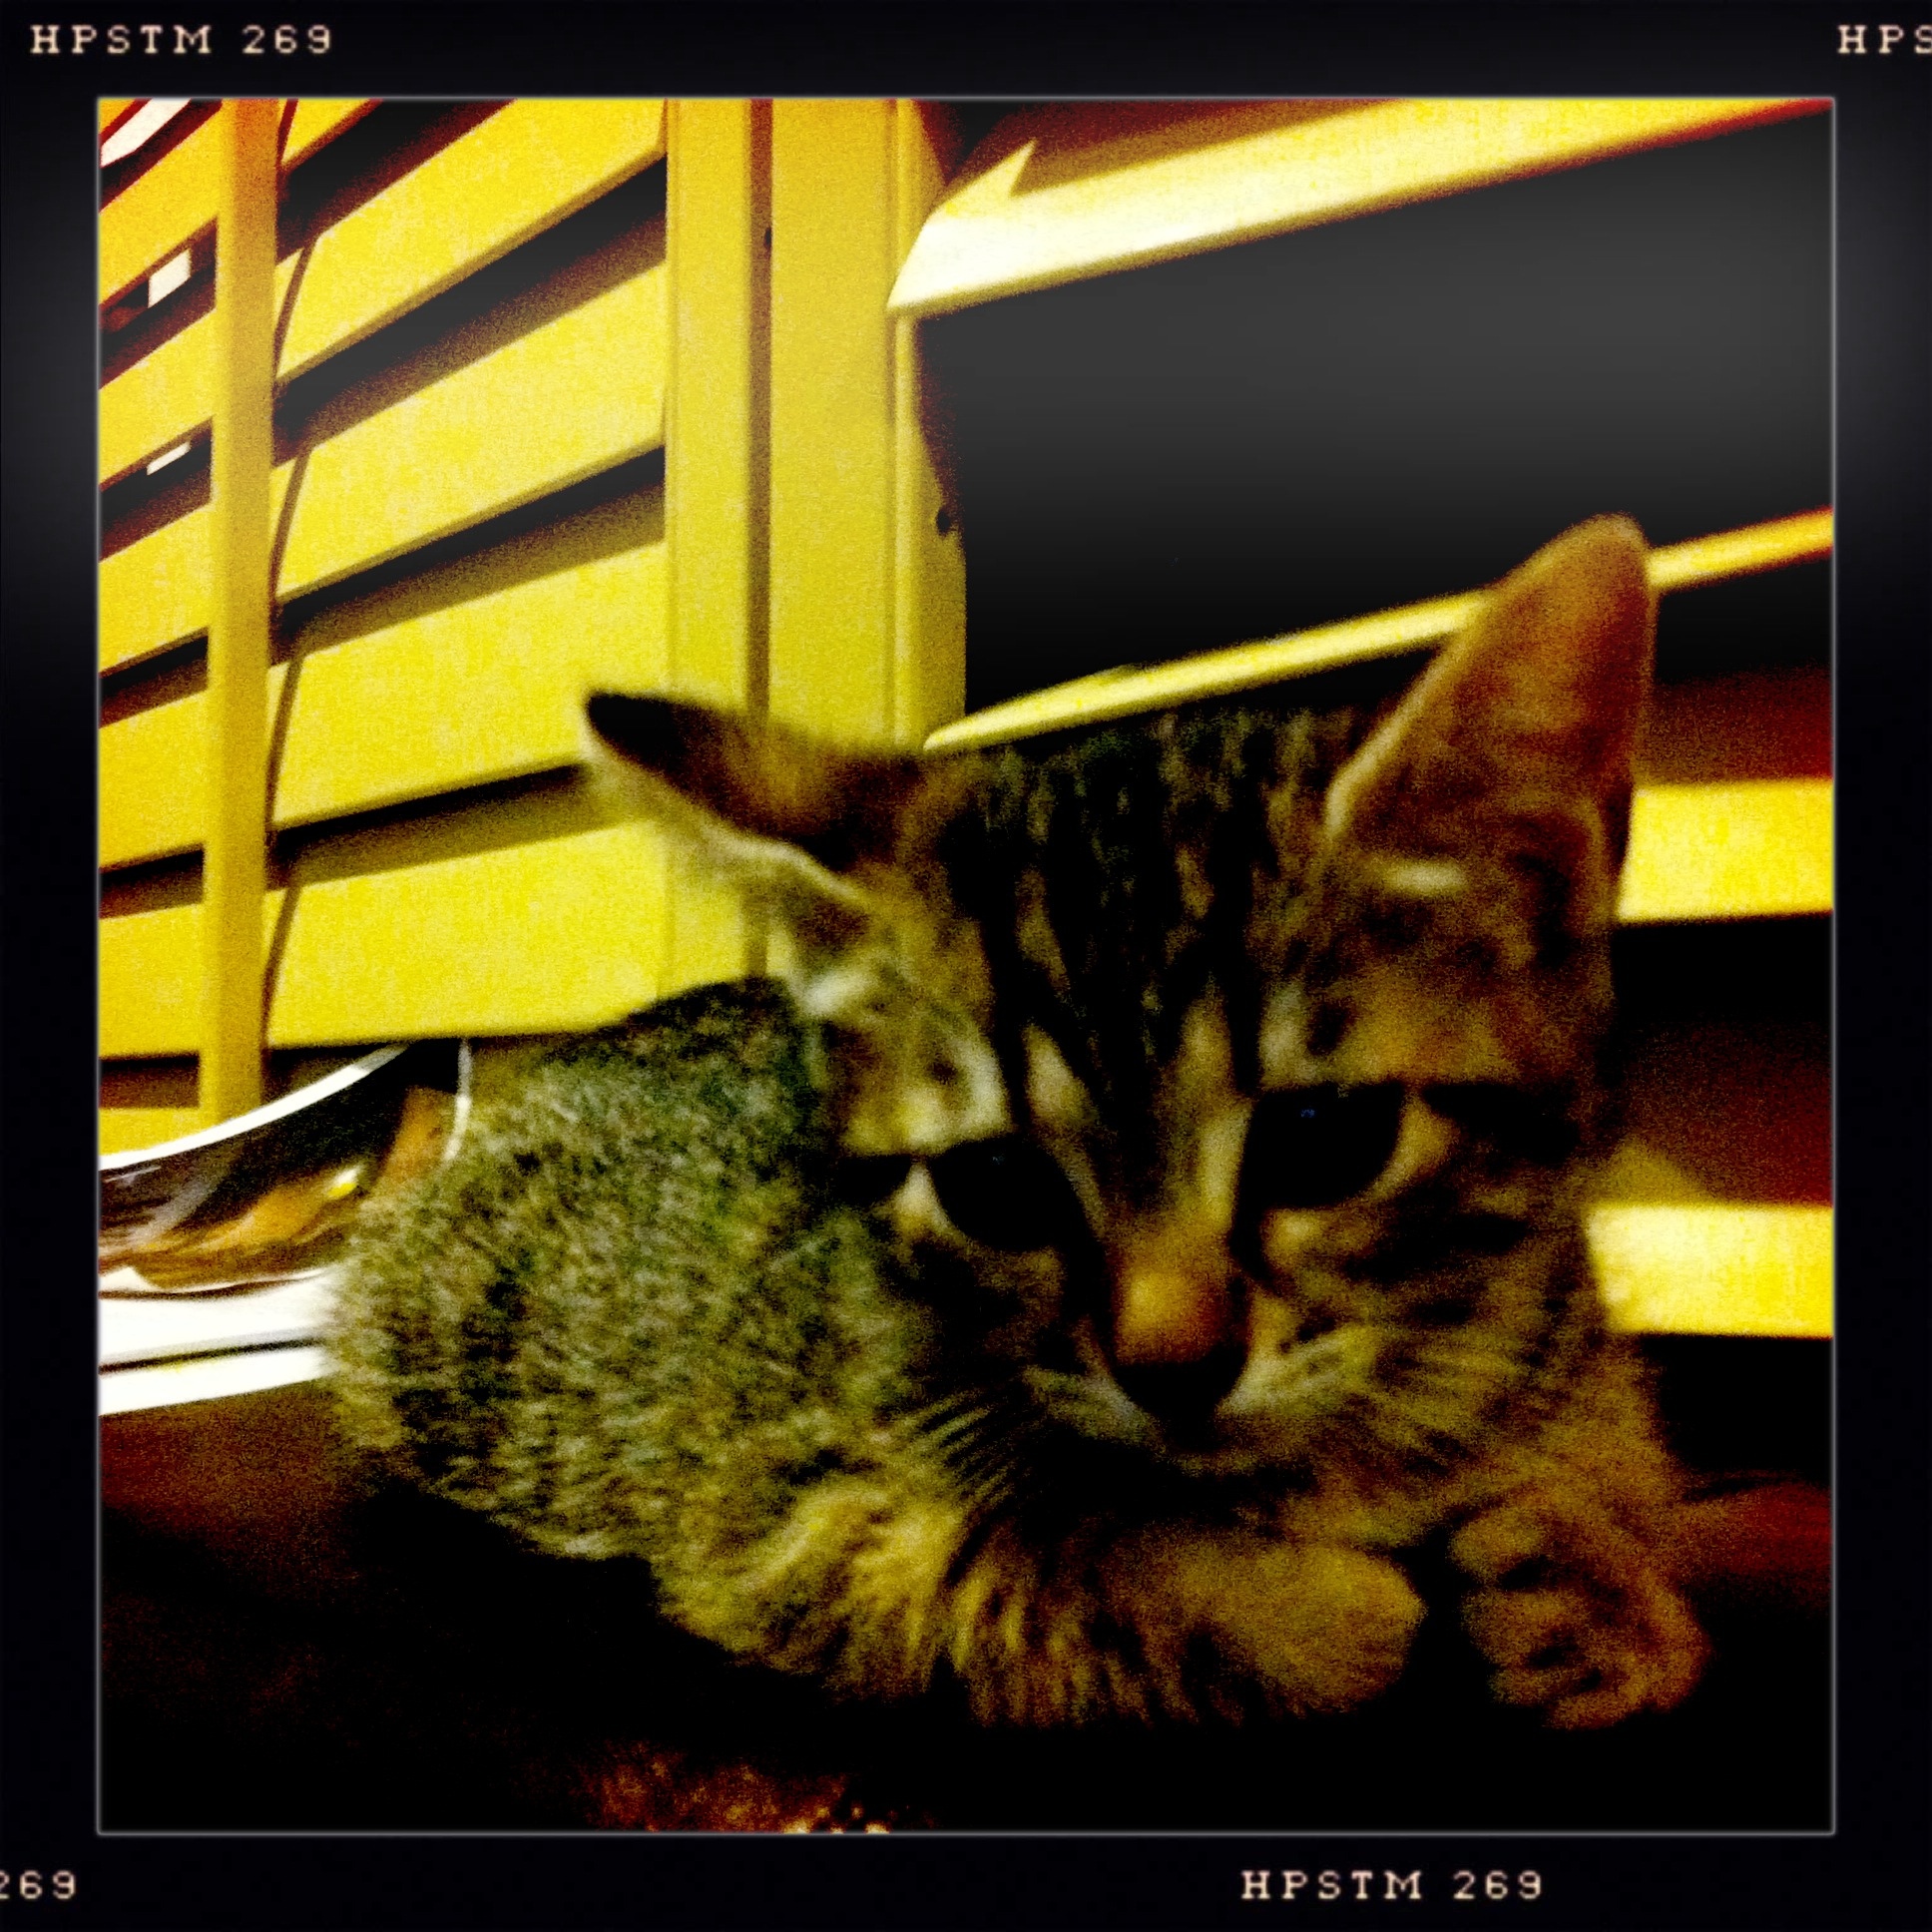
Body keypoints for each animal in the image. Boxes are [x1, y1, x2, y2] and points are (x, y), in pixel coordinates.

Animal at [331, 515, 1707, 1729]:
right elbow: (1068, 1564)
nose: (1173, 1369)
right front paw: (1326, 1606)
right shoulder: (793, 1522)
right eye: (995, 1187)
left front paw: (1600, 1584)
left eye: (1325, 1134)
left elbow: (1609, 1455)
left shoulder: (1571, 1334)